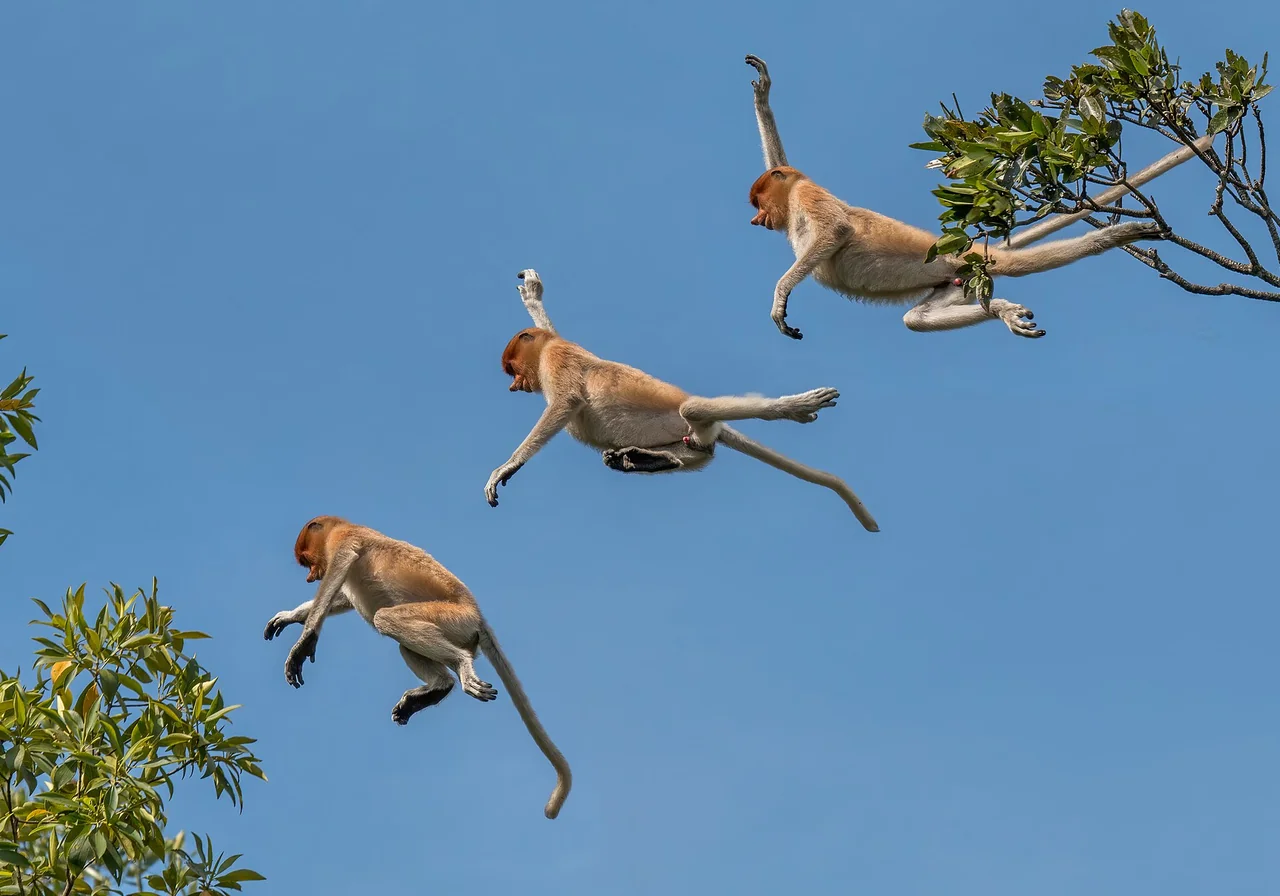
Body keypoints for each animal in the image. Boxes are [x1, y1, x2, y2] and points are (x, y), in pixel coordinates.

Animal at [263, 515, 572, 819]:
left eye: (307, 560)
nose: (310, 576)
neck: (341, 526)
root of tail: (478, 617)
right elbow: (342, 598)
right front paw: (287, 617)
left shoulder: (344, 542)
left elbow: (337, 575)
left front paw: (303, 645)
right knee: (405, 645)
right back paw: (437, 689)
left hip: (452, 619)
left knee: (385, 619)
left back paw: (461, 667)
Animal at [484, 270, 880, 532]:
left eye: (512, 367)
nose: (515, 385)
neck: (545, 350)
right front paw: (533, 294)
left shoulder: (557, 358)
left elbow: (564, 403)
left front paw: (505, 469)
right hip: (691, 440)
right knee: (698, 451)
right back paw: (642, 459)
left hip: (687, 417)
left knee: (694, 409)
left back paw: (796, 407)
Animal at [743, 54, 1166, 341]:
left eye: (759, 203)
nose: (756, 220)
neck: (791, 197)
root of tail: (960, 250)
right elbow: (782, 160)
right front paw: (762, 95)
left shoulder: (805, 193)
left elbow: (836, 230)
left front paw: (780, 299)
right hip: (953, 281)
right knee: (917, 320)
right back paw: (1002, 311)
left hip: (962, 263)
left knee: (1019, 266)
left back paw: (1114, 237)